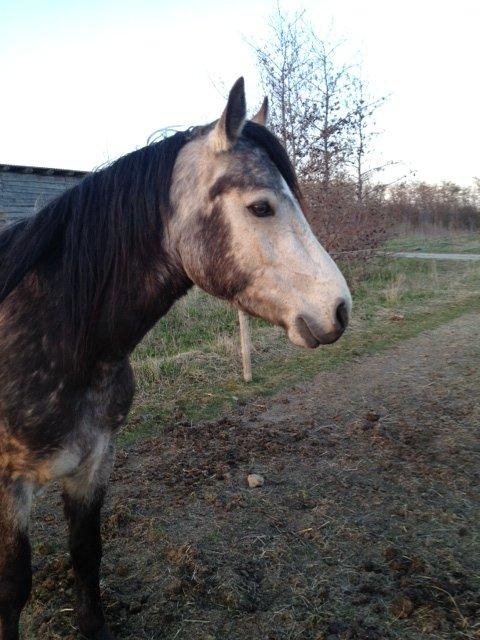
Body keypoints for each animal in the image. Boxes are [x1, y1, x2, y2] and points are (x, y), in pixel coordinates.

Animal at [0, 80, 352, 640]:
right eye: (261, 207)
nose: (339, 309)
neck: (53, 337)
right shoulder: (10, 486)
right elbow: (13, 587)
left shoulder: (93, 464)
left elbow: (86, 555)